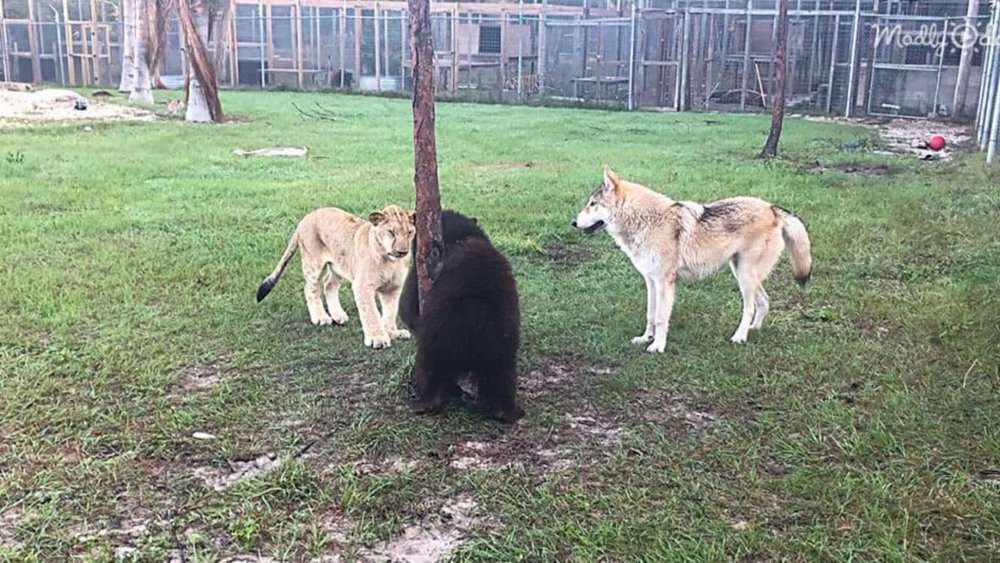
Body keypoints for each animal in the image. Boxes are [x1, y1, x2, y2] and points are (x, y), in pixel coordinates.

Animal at [256, 205, 416, 349]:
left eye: (409, 232)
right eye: (391, 232)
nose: (402, 252)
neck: (391, 261)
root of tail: (306, 217)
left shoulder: (393, 288)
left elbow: (390, 312)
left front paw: (393, 333)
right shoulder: (363, 286)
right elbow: (371, 313)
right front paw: (378, 339)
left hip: (338, 265)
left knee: (329, 285)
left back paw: (338, 315)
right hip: (313, 265)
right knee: (310, 289)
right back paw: (321, 318)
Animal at [572, 166, 812, 351]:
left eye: (592, 204)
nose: (573, 223)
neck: (647, 221)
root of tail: (773, 208)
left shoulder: (665, 283)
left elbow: (660, 318)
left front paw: (657, 346)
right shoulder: (650, 281)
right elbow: (650, 314)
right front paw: (645, 338)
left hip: (744, 276)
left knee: (750, 307)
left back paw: (739, 337)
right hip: (742, 273)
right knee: (763, 301)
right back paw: (754, 329)